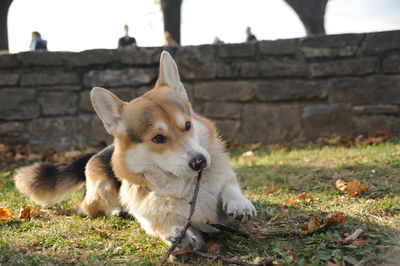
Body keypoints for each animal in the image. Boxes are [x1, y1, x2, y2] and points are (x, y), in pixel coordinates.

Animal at [14, 51, 256, 250]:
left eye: (187, 125)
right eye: (158, 138)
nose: (200, 162)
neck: (185, 187)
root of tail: (98, 152)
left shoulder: (226, 179)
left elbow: (229, 187)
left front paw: (239, 204)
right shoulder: (151, 221)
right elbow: (164, 226)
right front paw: (176, 235)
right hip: (102, 189)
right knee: (87, 209)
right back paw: (116, 210)